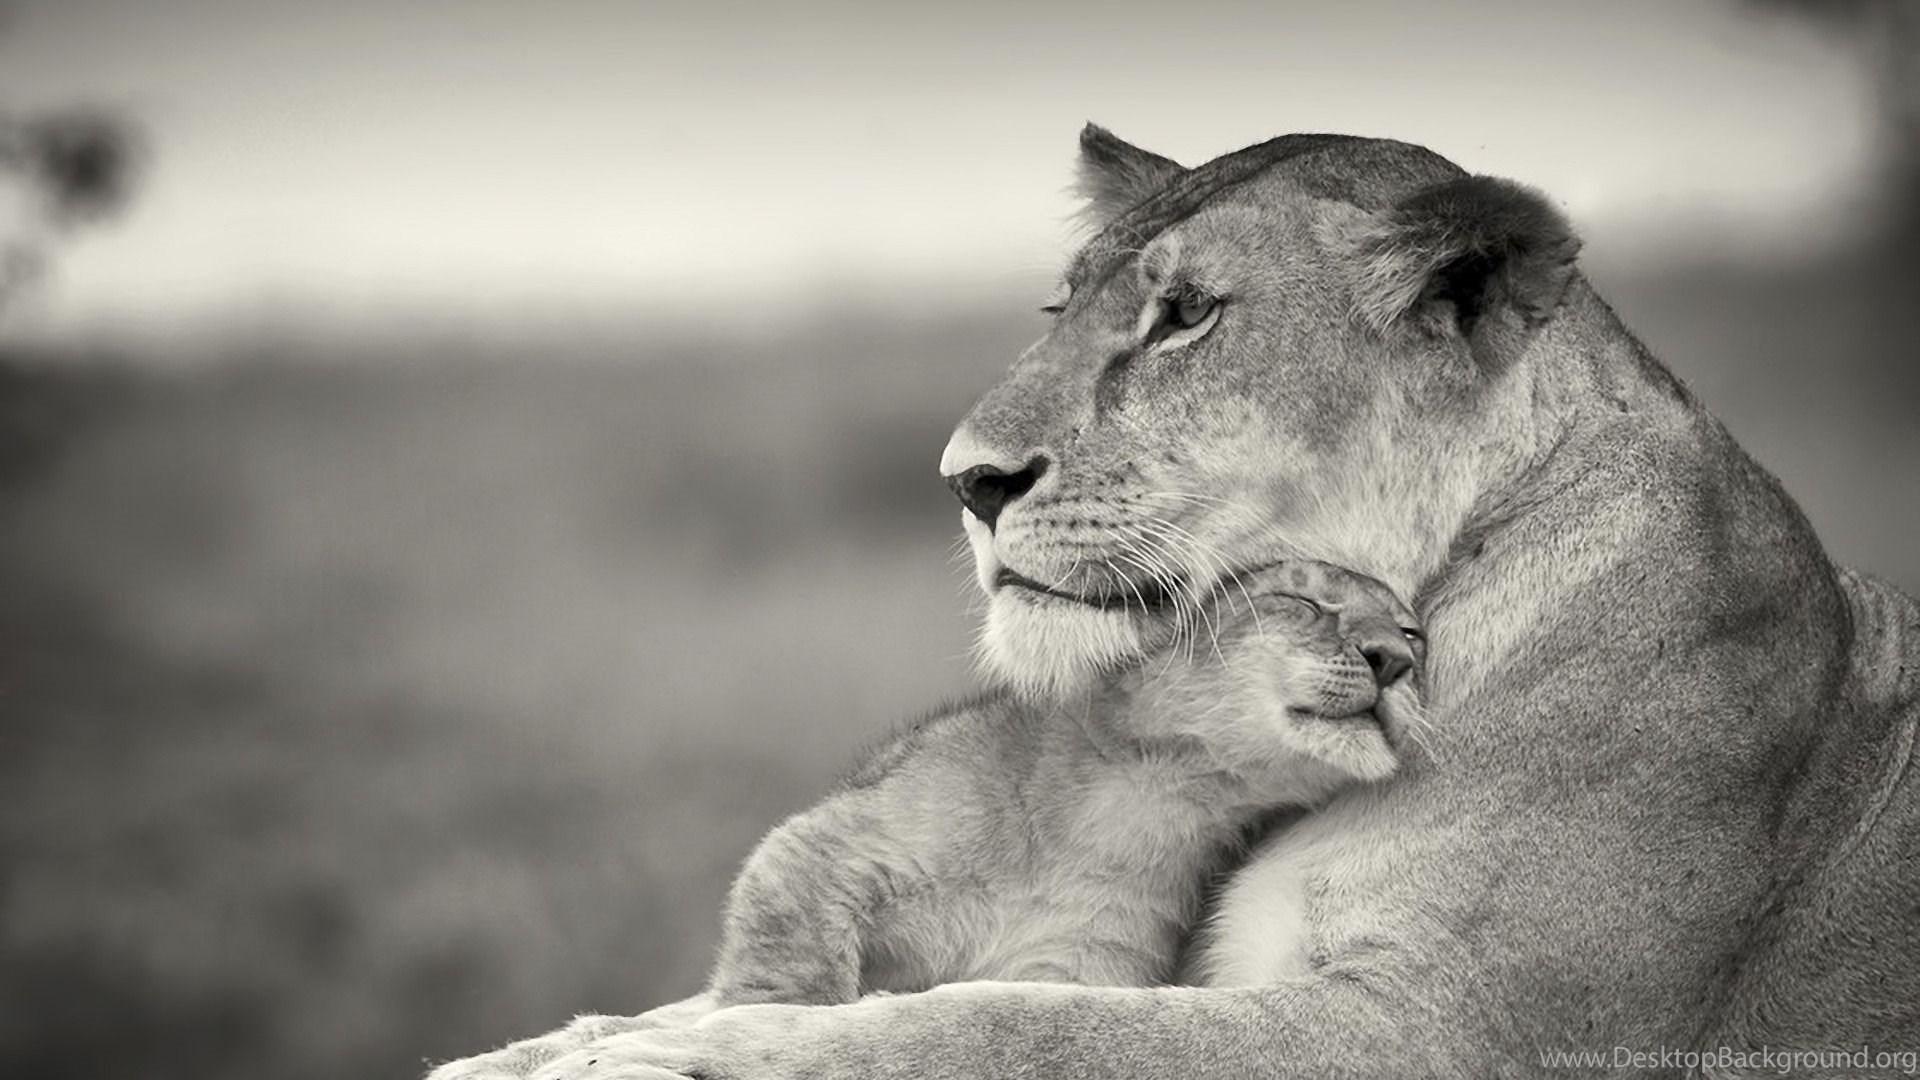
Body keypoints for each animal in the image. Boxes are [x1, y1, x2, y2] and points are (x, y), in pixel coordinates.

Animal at [431, 127, 1920, 1079]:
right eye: (1063, 307)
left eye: (1189, 313)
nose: (966, 481)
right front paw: (564, 1042)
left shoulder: (1450, 1031)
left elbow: (1008, 1032)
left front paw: (690, 1052)